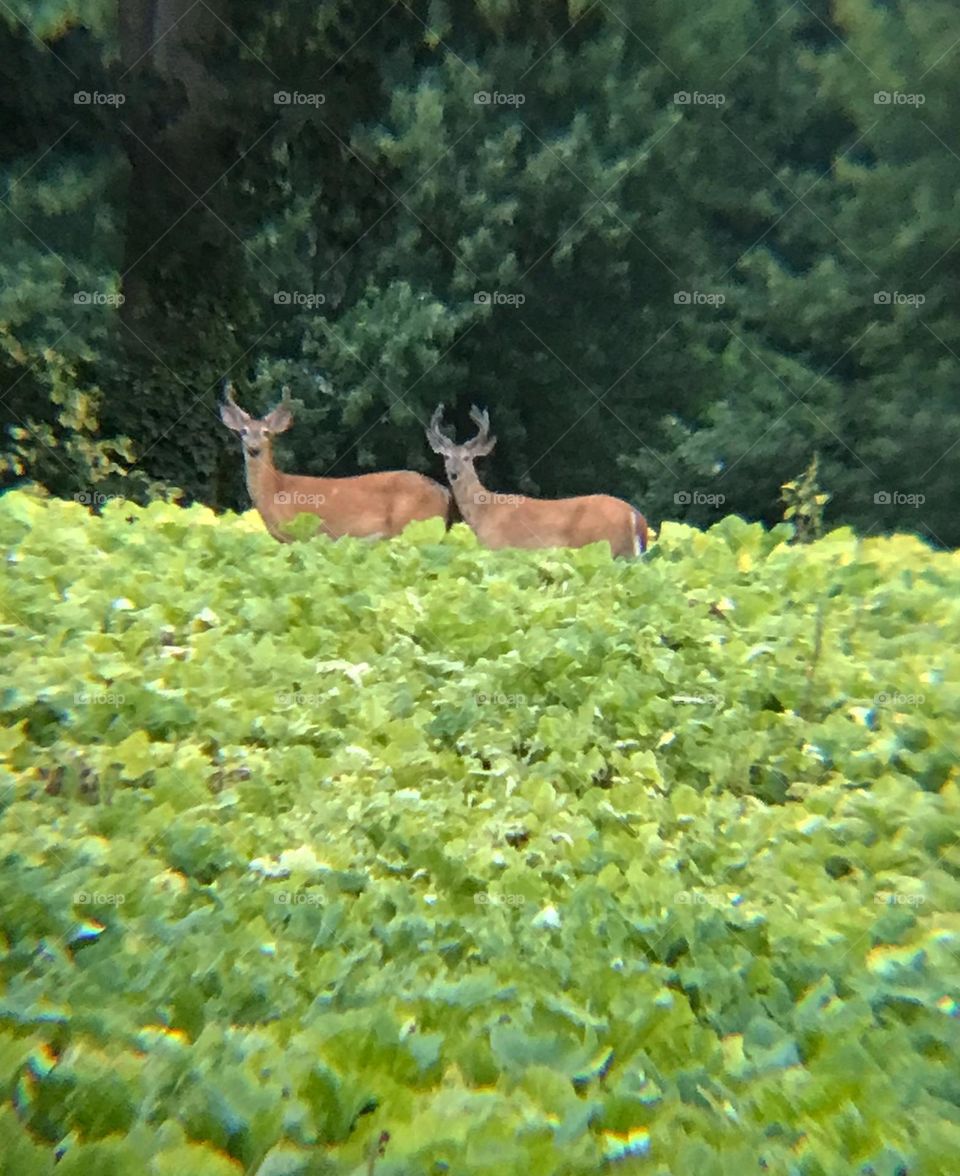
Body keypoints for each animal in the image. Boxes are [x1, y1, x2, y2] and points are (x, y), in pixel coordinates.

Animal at [220, 385, 452, 543]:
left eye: (266, 433)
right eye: (243, 432)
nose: (253, 449)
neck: (276, 491)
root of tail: (443, 491)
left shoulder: (301, 535)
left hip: (416, 524)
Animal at [426, 404, 649, 558]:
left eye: (467, 458)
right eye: (446, 456)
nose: (454, 473)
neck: (485, 511)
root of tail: (635, 516)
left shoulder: (499, 547)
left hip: (603, 547)